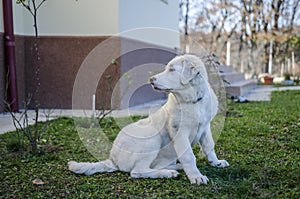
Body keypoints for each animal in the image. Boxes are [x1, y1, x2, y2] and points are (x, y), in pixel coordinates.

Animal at [68, 54, 230, 185]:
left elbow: (209, 145)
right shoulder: (180, 132)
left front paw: (216, 162)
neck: (193, 101)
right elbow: (189, 156)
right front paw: (196, 177)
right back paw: (168, 173)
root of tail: (113, 159)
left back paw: (176, 167)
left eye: (172, 70)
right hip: (151, 138)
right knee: (138, 171)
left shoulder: (205, 126)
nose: (151, 80)